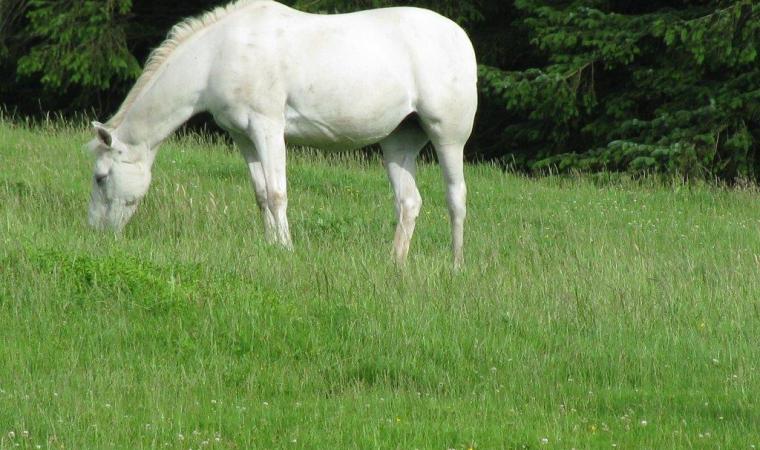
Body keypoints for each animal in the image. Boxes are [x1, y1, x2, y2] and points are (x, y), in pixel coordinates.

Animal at [88, 0, 478, 267]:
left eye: (100, 177)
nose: (97, 233)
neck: (218, 55)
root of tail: (460, 36)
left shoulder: (268, 127)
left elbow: (277, 193)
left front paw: (287, 249)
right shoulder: (243, 136)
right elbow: (261, 194)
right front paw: (270, 246)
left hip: (448, 137)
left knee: (455, 197)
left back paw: (456, 264)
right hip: (399, 142)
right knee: (409, 202)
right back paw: (395, 263)